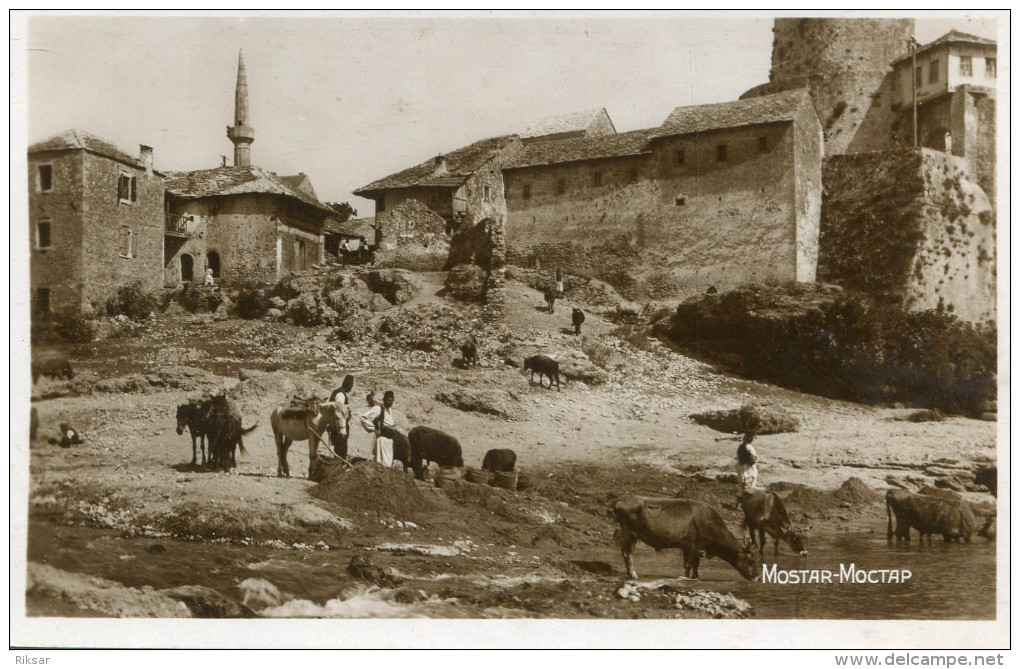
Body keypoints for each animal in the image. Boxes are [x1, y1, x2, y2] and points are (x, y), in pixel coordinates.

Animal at [612, 493, 758, 583]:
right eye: (750, 560)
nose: (757, 577)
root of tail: (619, 500)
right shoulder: (688, 545)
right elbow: (688, 564)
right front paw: (687, 578)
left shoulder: (697, 548)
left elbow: (695, 564)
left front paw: (696, 578)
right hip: (631, 533)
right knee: (627, 552)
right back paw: (633, 574)